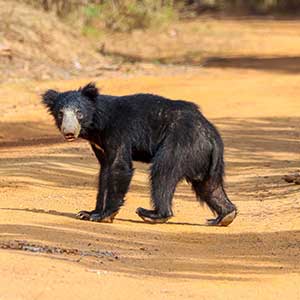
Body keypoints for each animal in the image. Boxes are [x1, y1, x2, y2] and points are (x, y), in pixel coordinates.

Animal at [41, 83, 237, 226]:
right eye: (60, 113)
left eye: (79, 113)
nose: (69, 132)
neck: (97, 126)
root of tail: (212, 135)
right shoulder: (100, 145)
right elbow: (105, 171)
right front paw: (89, 213)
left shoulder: (118, 132)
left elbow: (119, 167)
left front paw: (105, 215)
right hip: (202, 158)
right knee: (209, 186)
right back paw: (225, 216)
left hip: (180, 145)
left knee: (162, 173)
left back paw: (152, 214)